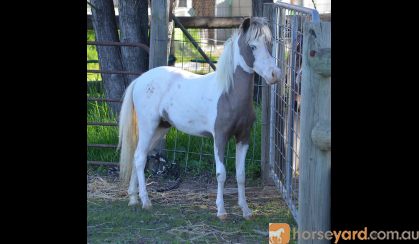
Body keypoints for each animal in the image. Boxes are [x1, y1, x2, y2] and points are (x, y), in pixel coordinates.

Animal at [118, 17, 282, 219]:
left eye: (269, 44)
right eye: (252, 46)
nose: (275, 74)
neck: (228, 94)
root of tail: (140, 80)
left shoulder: (243, 138)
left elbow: (241, 175)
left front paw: (246, 210)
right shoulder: (220, 137)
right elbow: (221, 174)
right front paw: (221, 211)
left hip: (160, 128)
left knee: (137, 156)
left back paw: (133, 199)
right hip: (149, 126)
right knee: (140, 157)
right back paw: (145, 201)